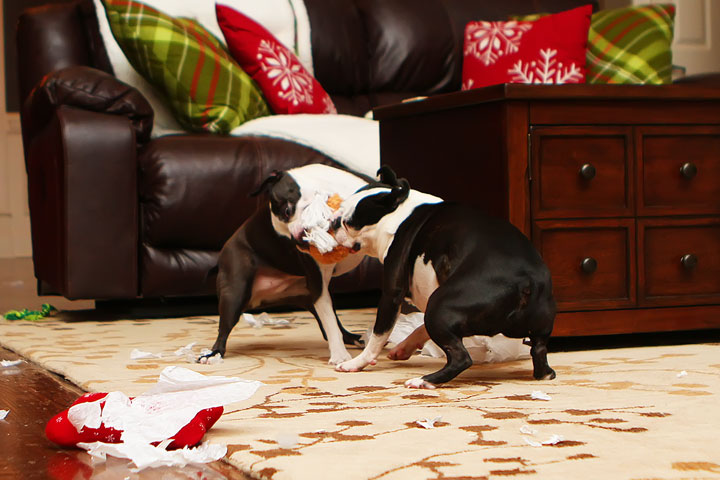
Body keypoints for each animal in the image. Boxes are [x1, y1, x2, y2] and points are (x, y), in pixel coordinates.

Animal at [198, 164, 372, 364]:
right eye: (283, 236)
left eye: (287, 211)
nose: (297, 239)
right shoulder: (318, 283)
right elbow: (329, 322)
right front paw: (340, 356)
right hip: (235, 292)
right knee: (224, 329)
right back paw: (213, 354)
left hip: (309, 297)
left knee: (333, 326)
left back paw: (355, 338)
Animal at [332, 167, 556, 388]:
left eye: (349, 222)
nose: (334, 221)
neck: (399, 214)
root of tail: (526, 280)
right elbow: (420, 327)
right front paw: (404, 347)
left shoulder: (391, 293)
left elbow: (379, 335)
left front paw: (357, 362)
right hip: (537, 327)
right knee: (539, 350)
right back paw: (545, 374)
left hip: (439, 306)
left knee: (461, 358)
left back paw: (425, 381)